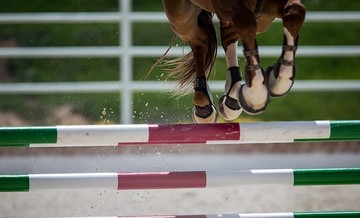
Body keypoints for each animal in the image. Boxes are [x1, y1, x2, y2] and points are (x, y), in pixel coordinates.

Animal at [162, 0, 306, 122]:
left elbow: (296, 11)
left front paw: (280, 79)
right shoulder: (224, 5)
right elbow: (246, 23)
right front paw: (255, 94)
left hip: (263, 19)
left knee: (229, 33)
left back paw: (232, 96)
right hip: (180, 17)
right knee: (200, 41)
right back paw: (204, 105)